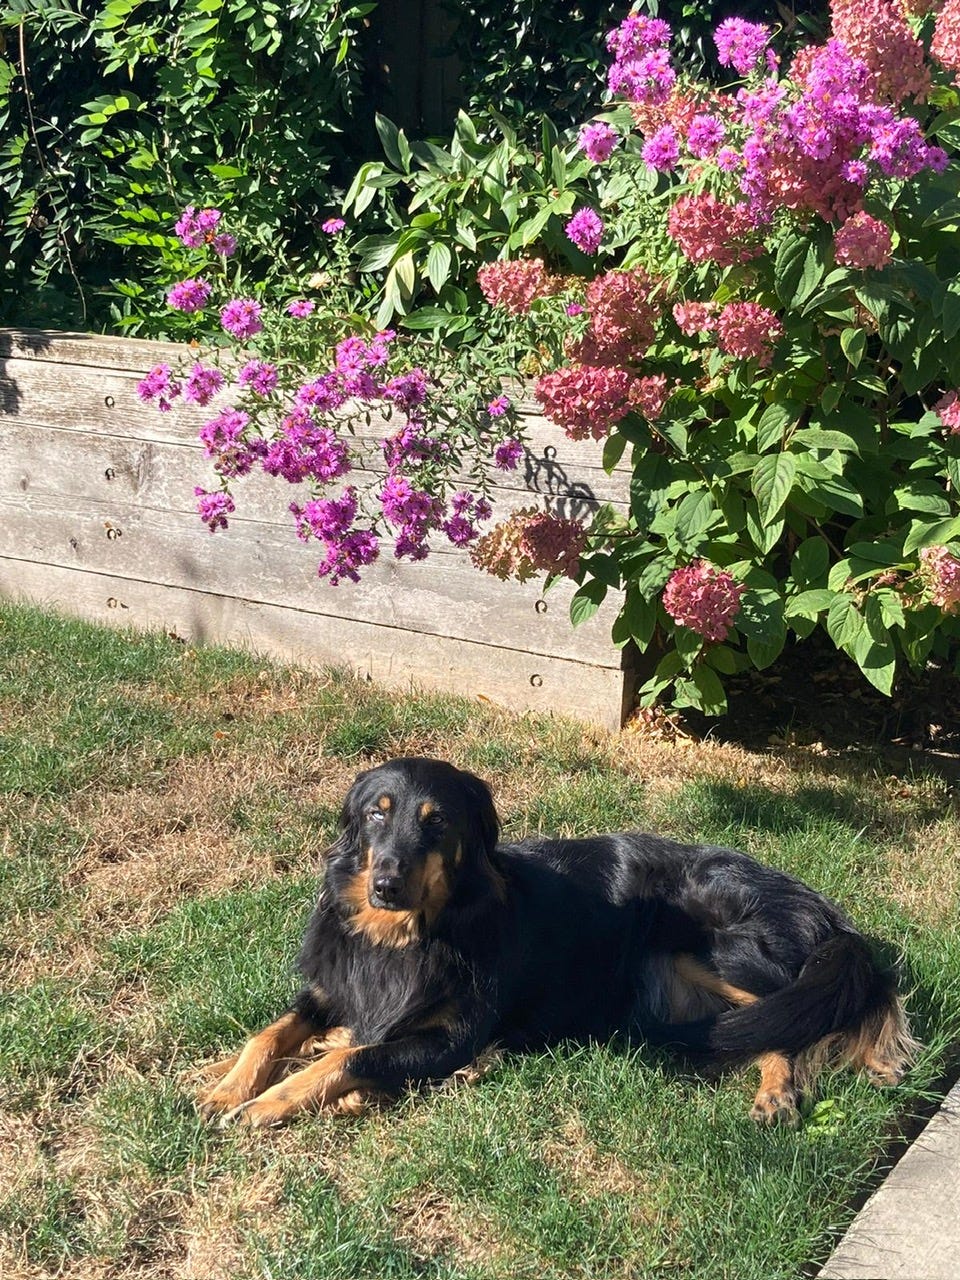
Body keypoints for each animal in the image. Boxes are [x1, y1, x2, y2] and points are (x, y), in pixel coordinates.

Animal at [199, 752, 921, 1126]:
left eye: (437, 823)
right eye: (377, 814)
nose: (386, 885)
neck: (406, 934)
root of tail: (823, 914)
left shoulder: (452, 1032)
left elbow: (345, 1059)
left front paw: (268, 1103)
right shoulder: (337, 986)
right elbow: (273, 1032)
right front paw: (227, 1086)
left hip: (697, 944)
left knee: (804, 1012)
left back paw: (790, 1084)